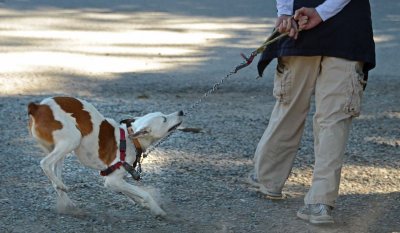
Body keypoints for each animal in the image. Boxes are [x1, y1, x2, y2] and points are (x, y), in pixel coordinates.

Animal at [27, 96, 184, 217]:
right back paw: (62, 187)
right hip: (72, 140)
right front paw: (157, 210)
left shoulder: (115, 181)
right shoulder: (112, 180)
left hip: (60, 150)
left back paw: (66, 200)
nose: (181, 111)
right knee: (45, 164)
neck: (131, 139)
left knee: (54, 177)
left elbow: (132, 193)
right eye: (164, 119)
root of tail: (38, 107)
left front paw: (143, 204)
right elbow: (145, 194)